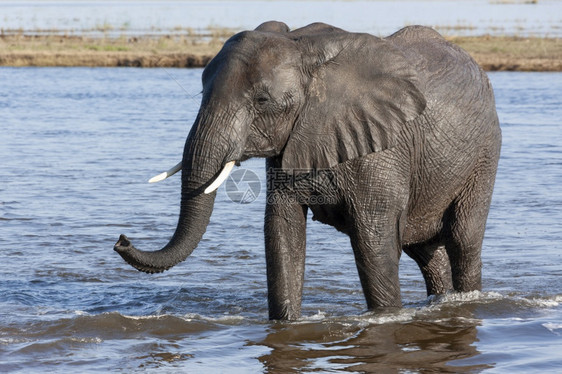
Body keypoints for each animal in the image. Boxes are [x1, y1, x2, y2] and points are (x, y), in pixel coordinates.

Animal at [114, 21, 498, 322]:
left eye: (262, 101)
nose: (121, 239)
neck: (306, 51)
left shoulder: (383, 150)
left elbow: (373, 243)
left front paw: (387, 319)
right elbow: (282, 233)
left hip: (484, 155)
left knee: (462, 238)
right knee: (424, 250)